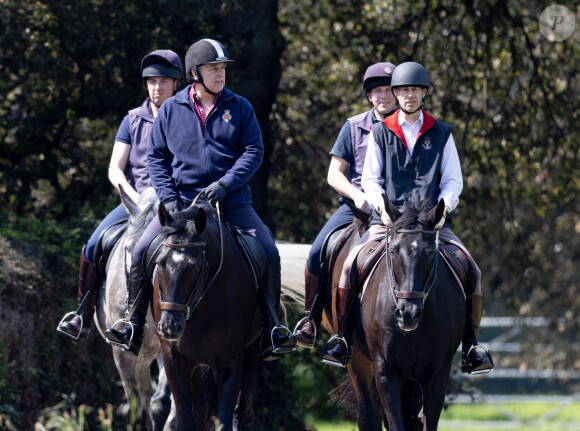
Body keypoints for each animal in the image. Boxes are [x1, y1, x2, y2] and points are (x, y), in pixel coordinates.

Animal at [154, 197, 262, 430]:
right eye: (159, 263)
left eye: (194, 267)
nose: (169, 327)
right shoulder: (174, 359)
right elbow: (187, 420)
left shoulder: (230, 362)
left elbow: (226, 421)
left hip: (252, 351)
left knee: (241, 412)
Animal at [328, 199, 464, 431]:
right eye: (393, 252)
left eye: (430, 254)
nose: (408, 314)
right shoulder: (387, 371)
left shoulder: (437, 374)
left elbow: (426, 422)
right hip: (358, 359)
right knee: (369, 416)